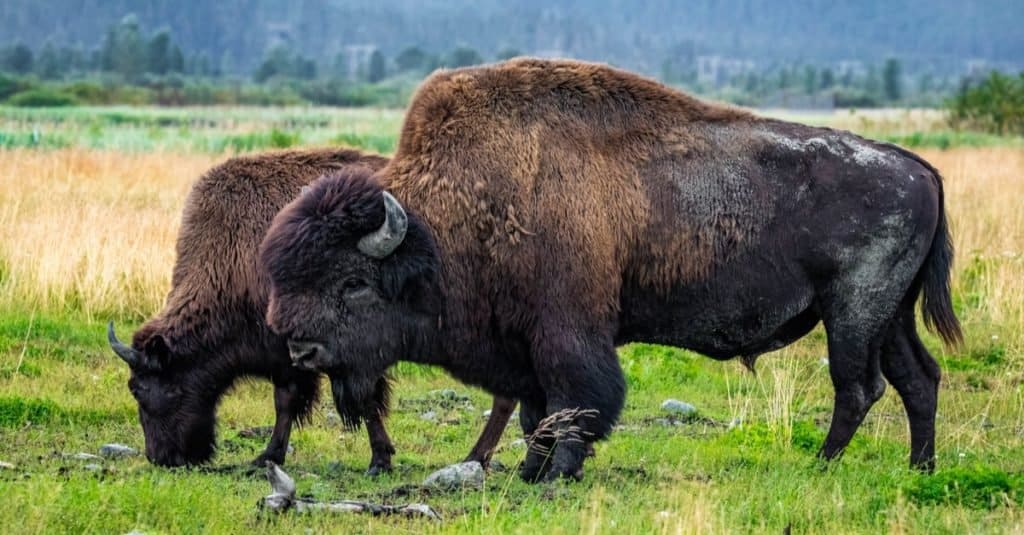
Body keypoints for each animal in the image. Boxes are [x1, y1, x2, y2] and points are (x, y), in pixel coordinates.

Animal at [108, 145, 516, 471]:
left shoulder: (312, 354)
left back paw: (477, 458)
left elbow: (322, 402)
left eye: (141, 388)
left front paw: (376, 460)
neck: (231, 258)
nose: (162, 457)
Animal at [260, 60, 962, 481]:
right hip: (888, 315)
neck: (451, 219)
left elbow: (579, 403)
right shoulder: (526, 348)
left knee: (859, 387)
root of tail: (919, 167)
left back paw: (822, 464)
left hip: (853, 310)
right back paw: (919, 470)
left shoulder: (568, 333)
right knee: (917, 379)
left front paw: (555, 473)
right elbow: (536, 413)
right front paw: (531, 470)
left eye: (352, 283)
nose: (299, 347)